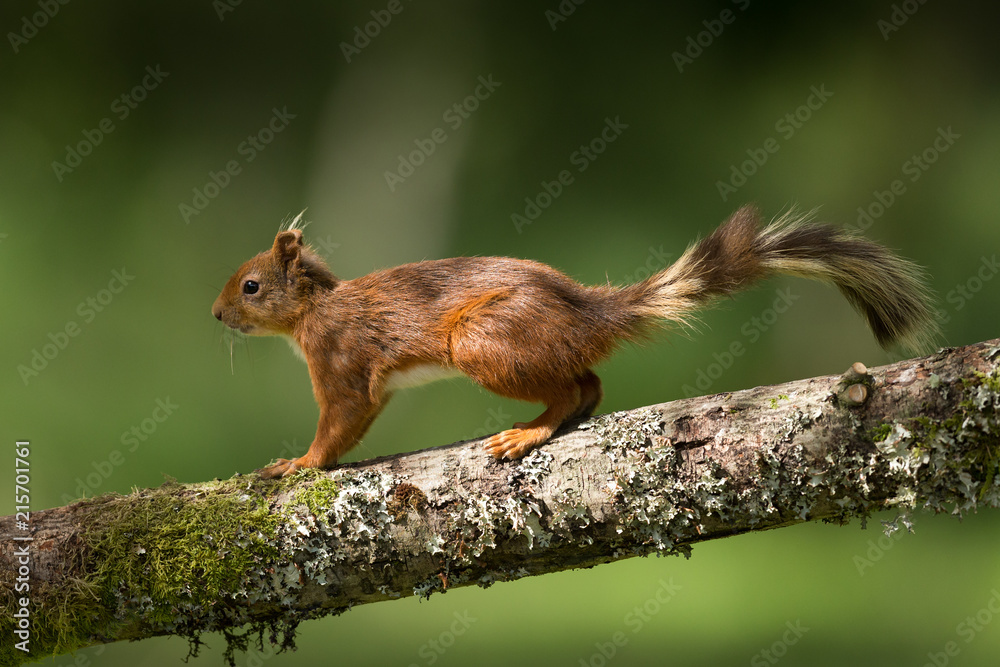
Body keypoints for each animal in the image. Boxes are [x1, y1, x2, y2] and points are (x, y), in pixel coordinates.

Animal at [212, 205, 938, 478]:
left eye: (250, 285)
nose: (215, 315)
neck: (314, 309)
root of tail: (592, 314)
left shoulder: (339, 357)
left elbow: (341, 419)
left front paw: (296, 464)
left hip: (484, 340)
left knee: (573, 387)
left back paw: (527, 433)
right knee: (587, 383)